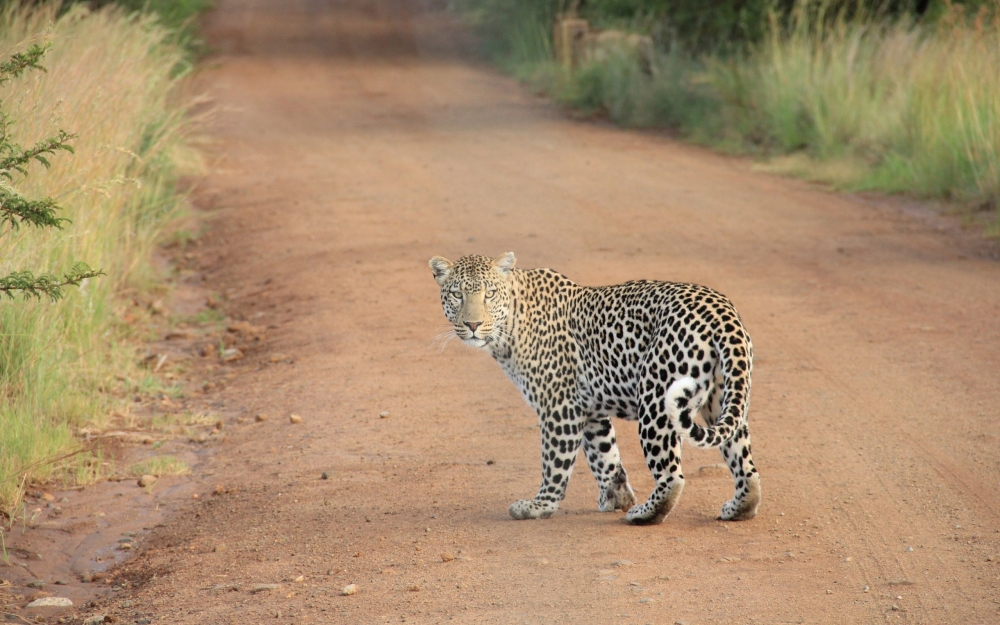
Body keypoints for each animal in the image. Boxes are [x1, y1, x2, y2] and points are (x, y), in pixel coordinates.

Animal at [426, 251, 760, 524]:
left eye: (490, 294)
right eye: (456, 294)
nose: (471, 325)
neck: (510, 325)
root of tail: (722, 311)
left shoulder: (558, 406)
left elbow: (555, 462)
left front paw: (539, 506)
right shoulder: (589, 409)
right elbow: (605, 456)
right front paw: (616, 497)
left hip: (656, 399)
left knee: (672, 476)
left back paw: (644, 514)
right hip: (723, 398)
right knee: (745, 465)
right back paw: (738, 508)